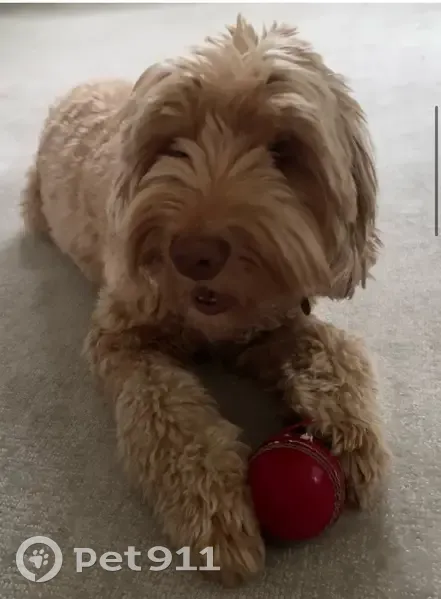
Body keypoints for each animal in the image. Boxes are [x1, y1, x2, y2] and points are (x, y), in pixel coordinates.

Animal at [21, 16, 391, 586]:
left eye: (285, 150)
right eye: (172, 144)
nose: (194, 253)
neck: (213, 323)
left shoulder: (275, 321)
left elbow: (336, 349)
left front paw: (353, 431)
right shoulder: (124, 342)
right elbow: (167, 419)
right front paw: (214, 511)